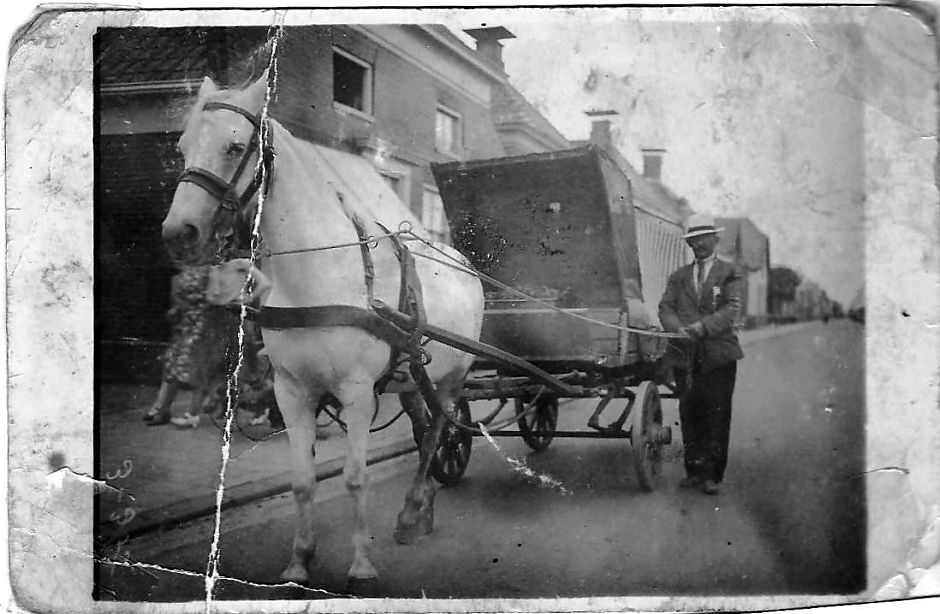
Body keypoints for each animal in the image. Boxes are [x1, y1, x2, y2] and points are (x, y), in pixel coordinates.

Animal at [161, 72, 482, 592]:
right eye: (182, 147)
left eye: (235, 147)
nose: (178, 232)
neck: (318, 273)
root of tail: (462, 262)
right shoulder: (292, 392)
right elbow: (302, 480)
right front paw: (299, 561)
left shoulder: (357, 394)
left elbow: (354, 477)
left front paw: (361, 565)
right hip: (413, 376)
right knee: (423, 429)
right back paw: (420, 509)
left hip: (454, 379)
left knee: (440, 429)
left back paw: (415, 507)